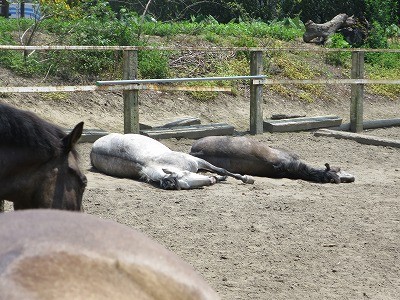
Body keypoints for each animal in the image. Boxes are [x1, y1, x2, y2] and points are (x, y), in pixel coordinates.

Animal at [90, 134, 253, 190]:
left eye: (184, 175)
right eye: (184, 186)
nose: (210, 181)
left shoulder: (198, 161)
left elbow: (222, 170)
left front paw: (246, 179)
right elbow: (220, 171)